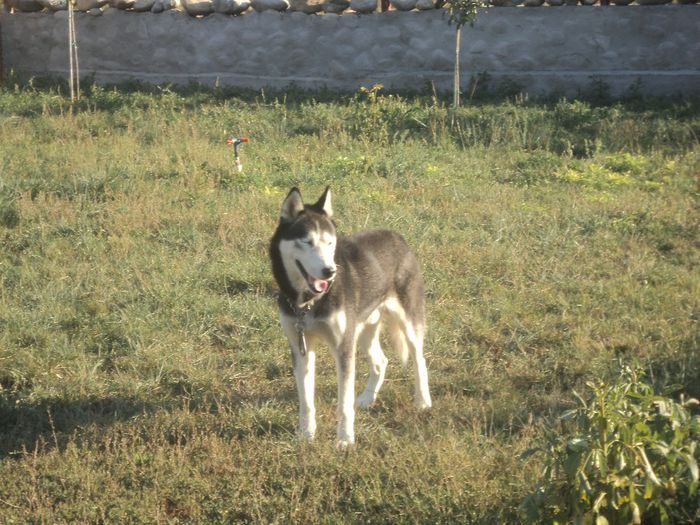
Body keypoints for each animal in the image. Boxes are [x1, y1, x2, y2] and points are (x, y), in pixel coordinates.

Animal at [270, 186, 430, 448]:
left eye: (330, 242)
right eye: (307, 242)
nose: (329, 271)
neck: (309, 303)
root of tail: (397, 236)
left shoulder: (343, 348)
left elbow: (343, 403)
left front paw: (345, 440)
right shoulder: (301, 347)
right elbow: (306, 402)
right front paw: (306, 435)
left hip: (408, 321)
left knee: (419, 359)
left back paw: (423, 401)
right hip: (363, 328)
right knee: (381, 361)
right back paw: (367, 398)